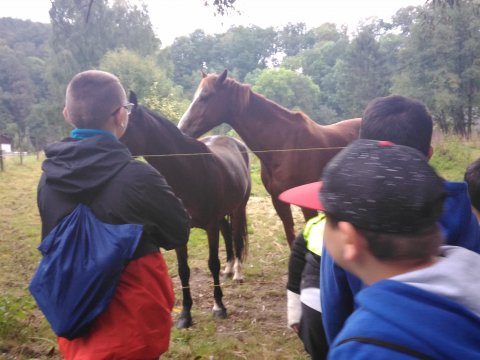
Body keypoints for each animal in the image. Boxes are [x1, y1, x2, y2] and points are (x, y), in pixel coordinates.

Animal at [121, 90, 251, 330]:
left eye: (125, 125)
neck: (189, 173)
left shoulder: (209, 226)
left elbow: (212, 264)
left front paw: (219, 307)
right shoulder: (181, 231)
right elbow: (183, 271)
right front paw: (185, 315)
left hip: (238, 208)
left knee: (237, 237)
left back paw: (237, 272)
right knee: (228, 233)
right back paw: (229, 270)